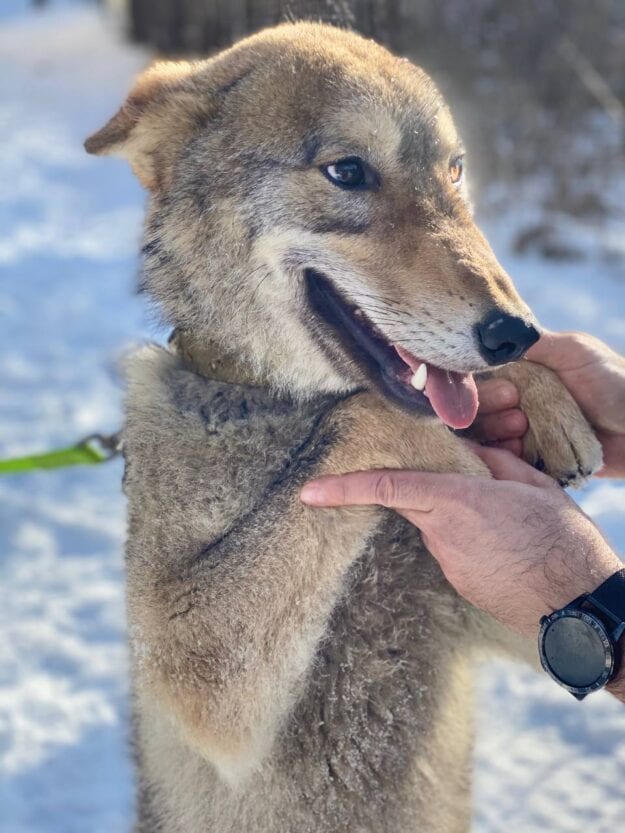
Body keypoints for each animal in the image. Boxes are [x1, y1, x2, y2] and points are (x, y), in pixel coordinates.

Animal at [85, 21, 604, 832]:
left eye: (455, 173)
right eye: (349, 171)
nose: (514, 331)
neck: (280, 404)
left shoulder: (539, 624)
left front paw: (546, 402)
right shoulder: (191, 664)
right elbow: (370, 411)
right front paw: (474, 463)